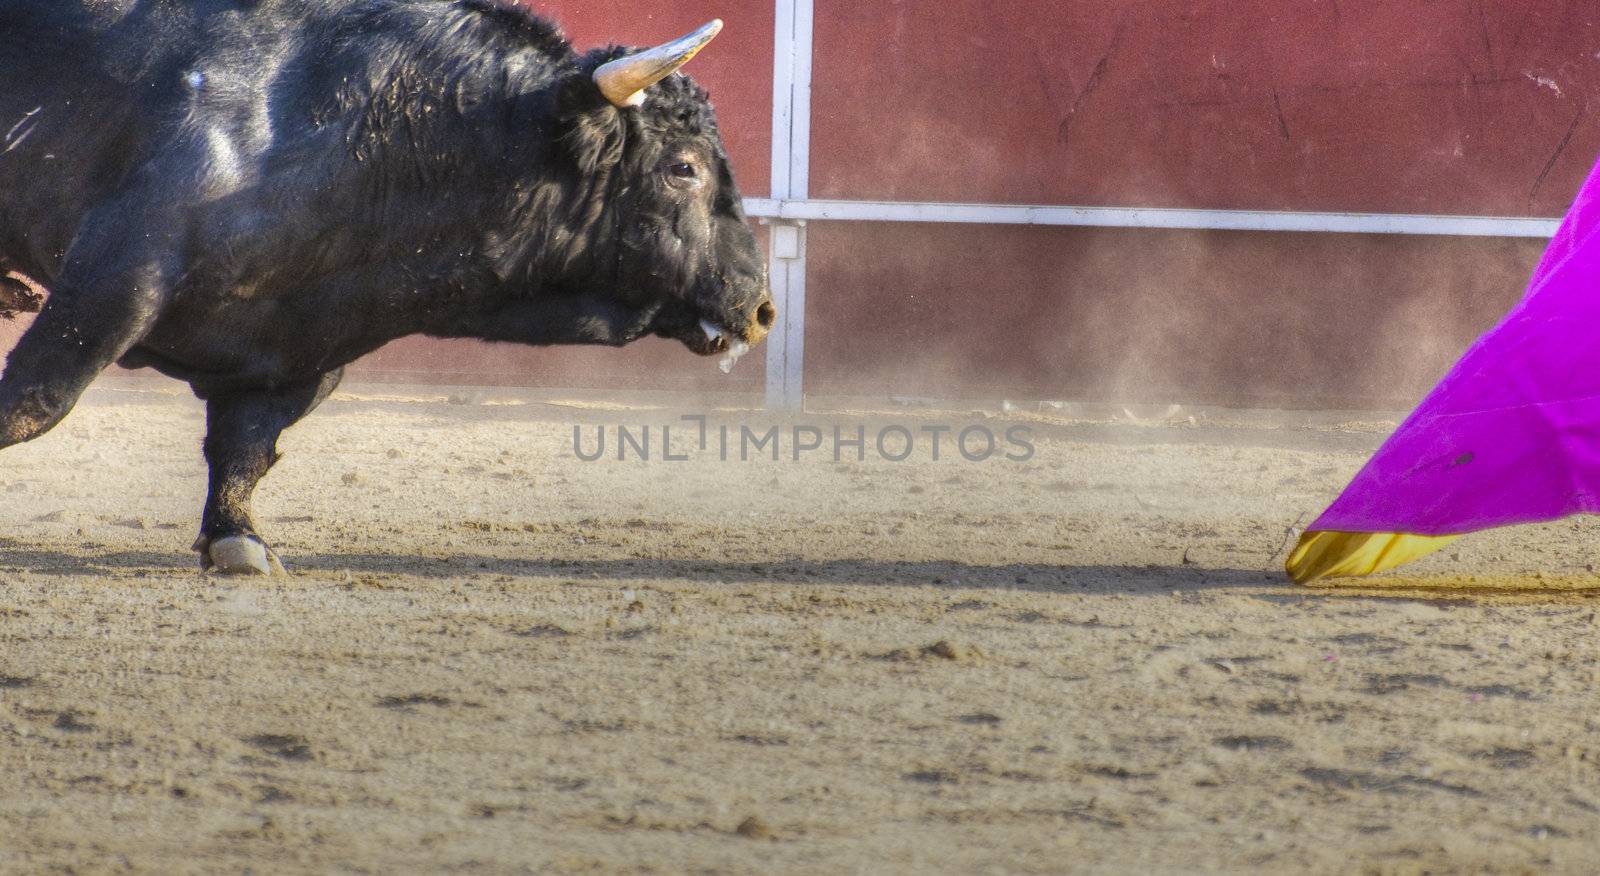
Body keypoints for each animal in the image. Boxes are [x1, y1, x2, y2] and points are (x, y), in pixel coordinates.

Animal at [0, 0, 774, 575]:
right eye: (683, 168)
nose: (760, 305)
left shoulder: (304, 347)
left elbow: (246, 447)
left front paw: (237, 540)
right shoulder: (116, 278)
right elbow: (35, 403)